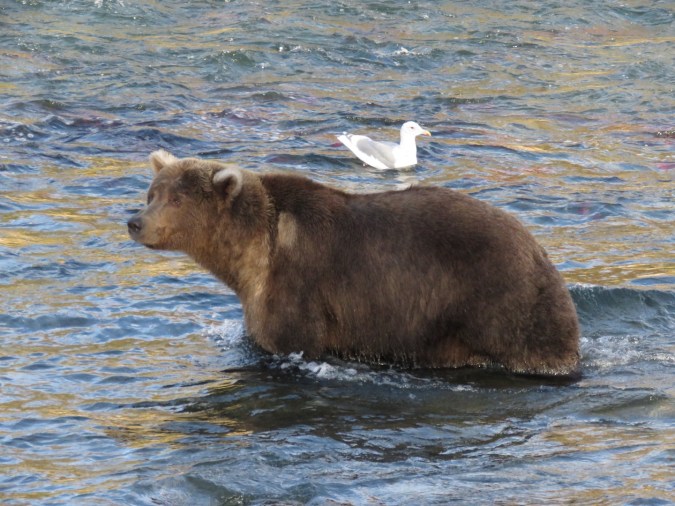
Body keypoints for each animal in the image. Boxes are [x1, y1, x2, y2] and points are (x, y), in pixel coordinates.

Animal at [127, 150, 580, 376]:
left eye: (176, 198)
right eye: (152, 193)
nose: (135, 222)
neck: (249, 256)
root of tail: (538, 248)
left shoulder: (295, 287)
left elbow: (291, 339)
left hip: (501, 298)